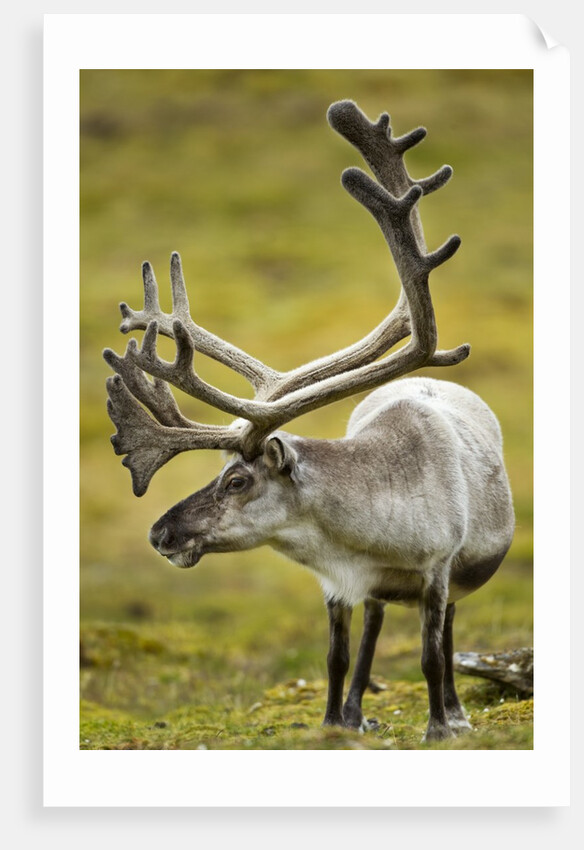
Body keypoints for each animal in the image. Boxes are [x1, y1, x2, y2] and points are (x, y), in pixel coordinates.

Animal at [103, 100, 515, 742]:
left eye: (238, 480)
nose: (158, 533)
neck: (368, 531)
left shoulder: (439, 568)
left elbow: (430, 652)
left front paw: (439, 727)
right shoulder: (336, 583)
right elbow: (336, 655)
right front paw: (331, 725)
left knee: (445, 636)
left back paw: (454, 712)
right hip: (377, 596)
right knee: (373, 627)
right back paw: (357, 712)